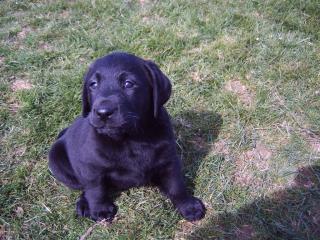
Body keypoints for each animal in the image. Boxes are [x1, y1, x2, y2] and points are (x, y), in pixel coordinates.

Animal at [48, 51, 206, 222]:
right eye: (93, 84)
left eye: (128, 83)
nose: (103, 113)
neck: (130, 138)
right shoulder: (90, 168)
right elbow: (95, 189)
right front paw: (100, 210)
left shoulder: (169, 159)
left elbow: (176, 185)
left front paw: (188, 205)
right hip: (56, 161)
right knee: (84, 187)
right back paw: (84, 204)